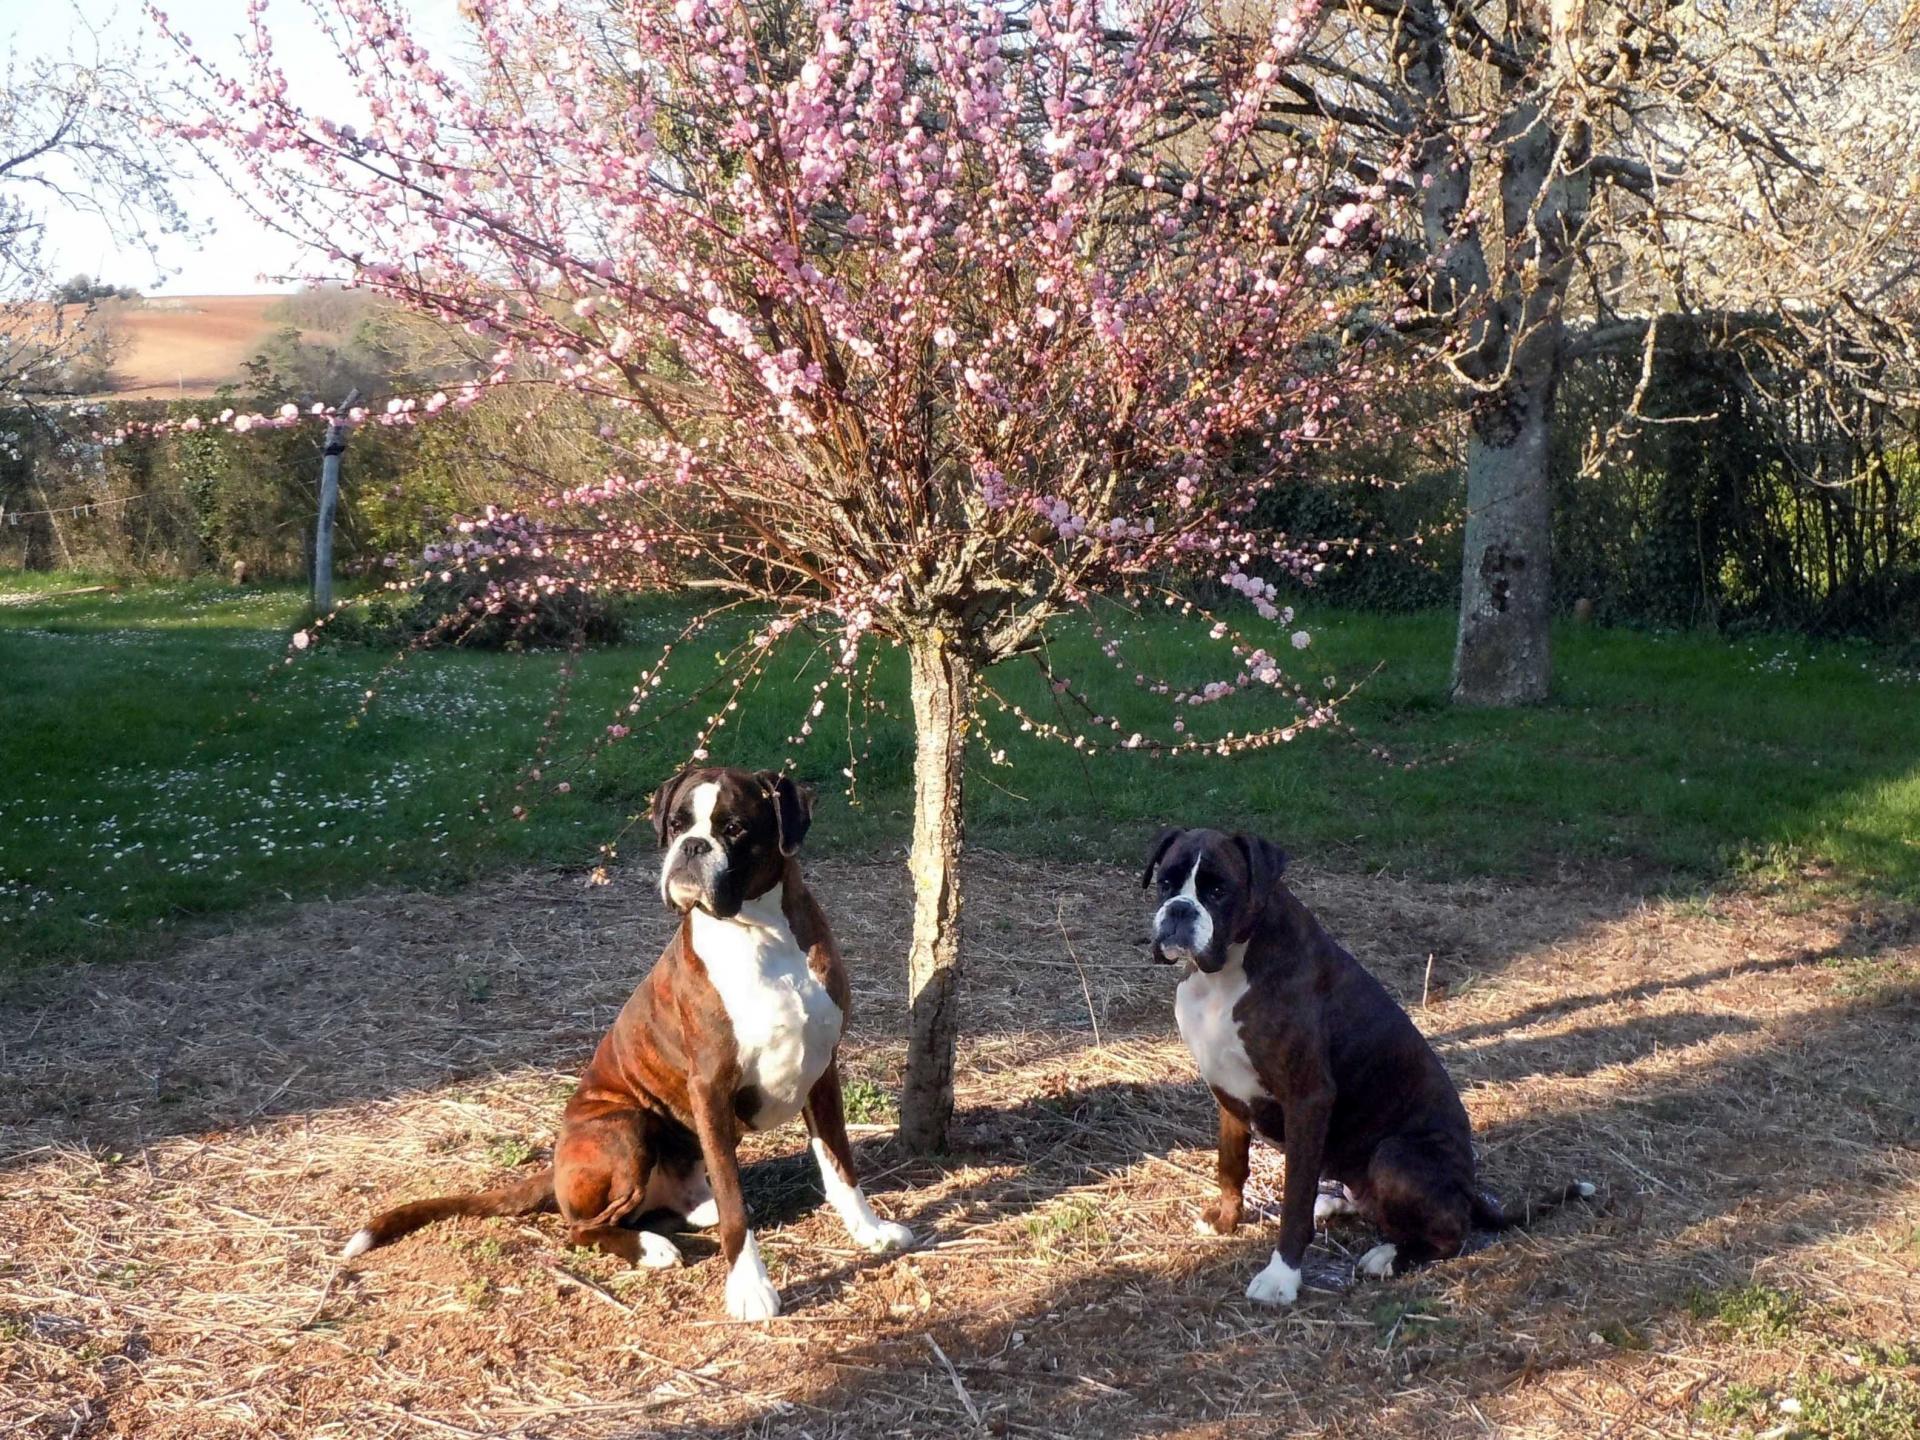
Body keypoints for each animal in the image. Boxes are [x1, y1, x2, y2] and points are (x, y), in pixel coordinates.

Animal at [343, 768, 913, 1320]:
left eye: (734, 828)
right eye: (677, 824)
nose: (691, 846)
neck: (760, 934)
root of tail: (557, 1165)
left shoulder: (821, 1070)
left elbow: (840, 1165)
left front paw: (869, 1231)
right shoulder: (710, 1087)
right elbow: (737, 1207)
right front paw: (749, 1287)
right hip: (627, 1125)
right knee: (581, 1228)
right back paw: (650, 1247)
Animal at [1136, 821, 1589, 1305]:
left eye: (1219, 890)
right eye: (1166, 883)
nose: (1179, 911)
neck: (1226, 973)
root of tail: (1469, 1190)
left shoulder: (1308, 1098)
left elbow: (1293, 1200)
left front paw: (1282, 1276)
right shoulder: (1228, 1094)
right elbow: (1231, 1165)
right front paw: (1225, 1222)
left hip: (1396, 1154)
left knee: (1451, 1232)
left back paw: (1389, 1257)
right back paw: (1335, 1203)